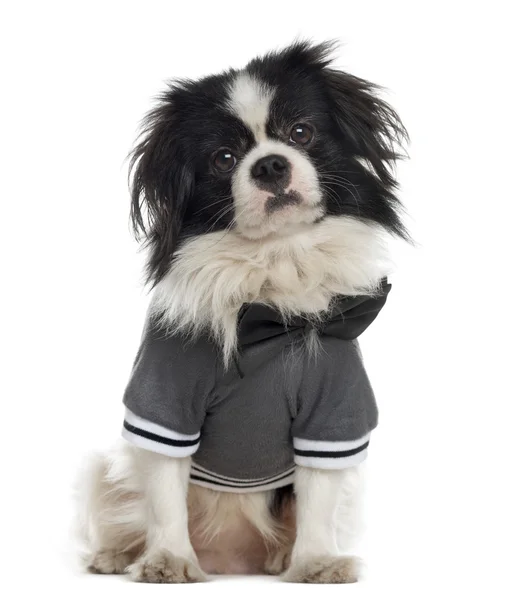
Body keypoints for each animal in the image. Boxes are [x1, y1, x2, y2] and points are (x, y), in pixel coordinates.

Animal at [76, 43, 408, 584]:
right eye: (224, 158)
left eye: (301, 133)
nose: (270, 165)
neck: (272, 280)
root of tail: (232, 559)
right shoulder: (164, 408)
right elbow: (165, 498)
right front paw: (168, 562)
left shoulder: (333, 416)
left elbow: (317, 501)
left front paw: (316, 563)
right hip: (103, 471)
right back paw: (117, 556)